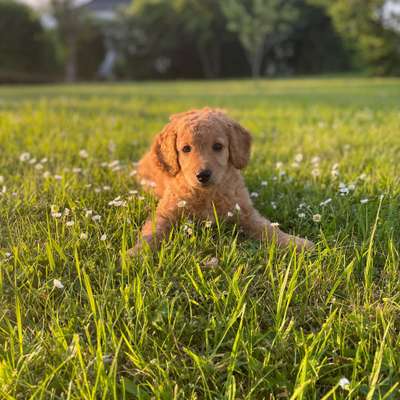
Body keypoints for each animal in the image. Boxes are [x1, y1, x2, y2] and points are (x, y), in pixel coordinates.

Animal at [130, 108, 314, 255]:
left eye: (218, 146)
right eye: (186, 149)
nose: (203, 175)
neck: (208, 193)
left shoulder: (245, 211)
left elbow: (268, 228)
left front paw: (295, 242)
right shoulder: (165, 213)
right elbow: (153, 233)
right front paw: (136, 253)